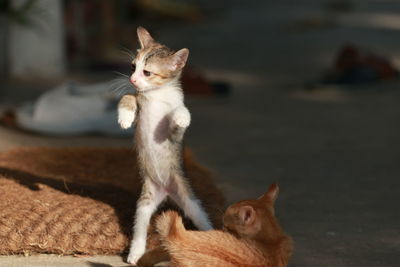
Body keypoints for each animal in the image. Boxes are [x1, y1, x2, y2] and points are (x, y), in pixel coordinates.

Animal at [117, 26, 212, 264]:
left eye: (147, 72)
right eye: (132, 67)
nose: (132, 79)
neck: (157, 95)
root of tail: (167, 191)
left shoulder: (174, 134)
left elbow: (179, 114)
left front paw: (181, 118)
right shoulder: (139, 104)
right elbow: (127, 97)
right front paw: (124, 117)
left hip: (189, 199)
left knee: (201, 218)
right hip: (145, 202)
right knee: (140, 227)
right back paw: (135, 252)